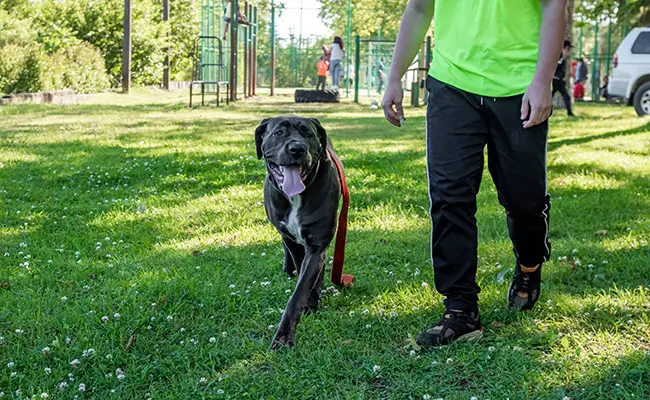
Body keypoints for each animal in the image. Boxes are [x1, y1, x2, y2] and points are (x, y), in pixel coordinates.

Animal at [256, 115, 342, 350]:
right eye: (279, 133)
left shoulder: (317, 244)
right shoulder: (292, 241)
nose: (297, 149)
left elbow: (301, 290)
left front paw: (284, 336)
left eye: (308, 134)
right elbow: (298, 263)